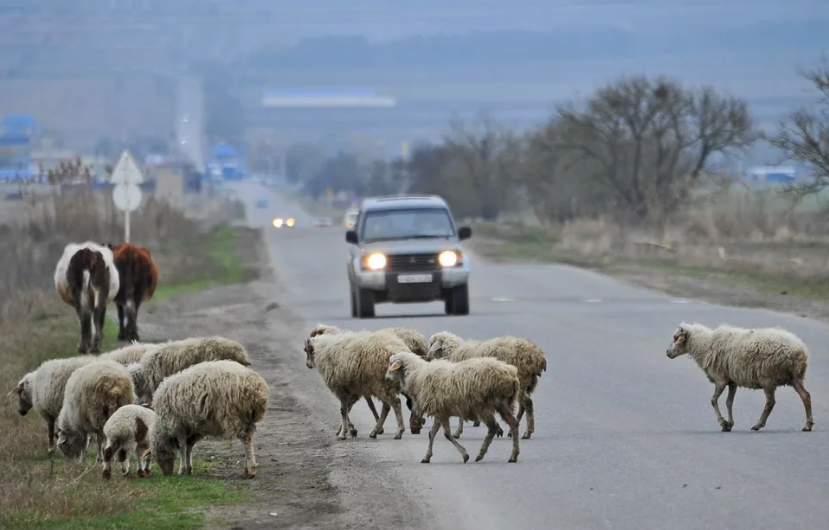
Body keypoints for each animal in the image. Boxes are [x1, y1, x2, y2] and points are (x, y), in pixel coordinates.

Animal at [384, 350, 520, 462]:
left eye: (391, 364)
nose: (386, 378)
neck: (417, 374)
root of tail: (512, 375)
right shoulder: (439, 411)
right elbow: (431, 433)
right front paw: (426, 457)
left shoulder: (441, 413)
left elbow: (447, 435)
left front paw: (465, 455)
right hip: (502, 404)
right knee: (513, 423)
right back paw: (513, 455)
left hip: (483, 407)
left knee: (493, 427)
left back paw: (481, 454)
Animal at [664, 322, 812, 428]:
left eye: (675, 338)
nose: (667, 352)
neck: (704, 345)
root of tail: (800, 350)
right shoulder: (732, 381)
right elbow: (729, 402)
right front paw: (729, 424)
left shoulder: (721, 379)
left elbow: (713, 400)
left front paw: (723, 423)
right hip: (794, 377)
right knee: (805, 396)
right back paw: (808, 425)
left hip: (768, 378)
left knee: (771, 402)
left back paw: (758, 424)